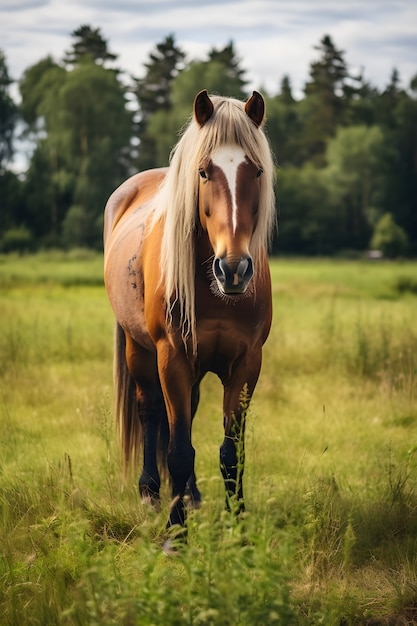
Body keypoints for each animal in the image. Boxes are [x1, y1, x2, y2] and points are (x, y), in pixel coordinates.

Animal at [103, 90, 274, 544]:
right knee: (150, 412)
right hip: (139, 349)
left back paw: (192, 496)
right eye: (203, 171)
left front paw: (239, 532)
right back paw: (150, 494)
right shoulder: (173, 357)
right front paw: (175, 537)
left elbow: (231, 452)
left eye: (256, 170)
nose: (234, 269)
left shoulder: (246, 363)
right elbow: (178, 448)